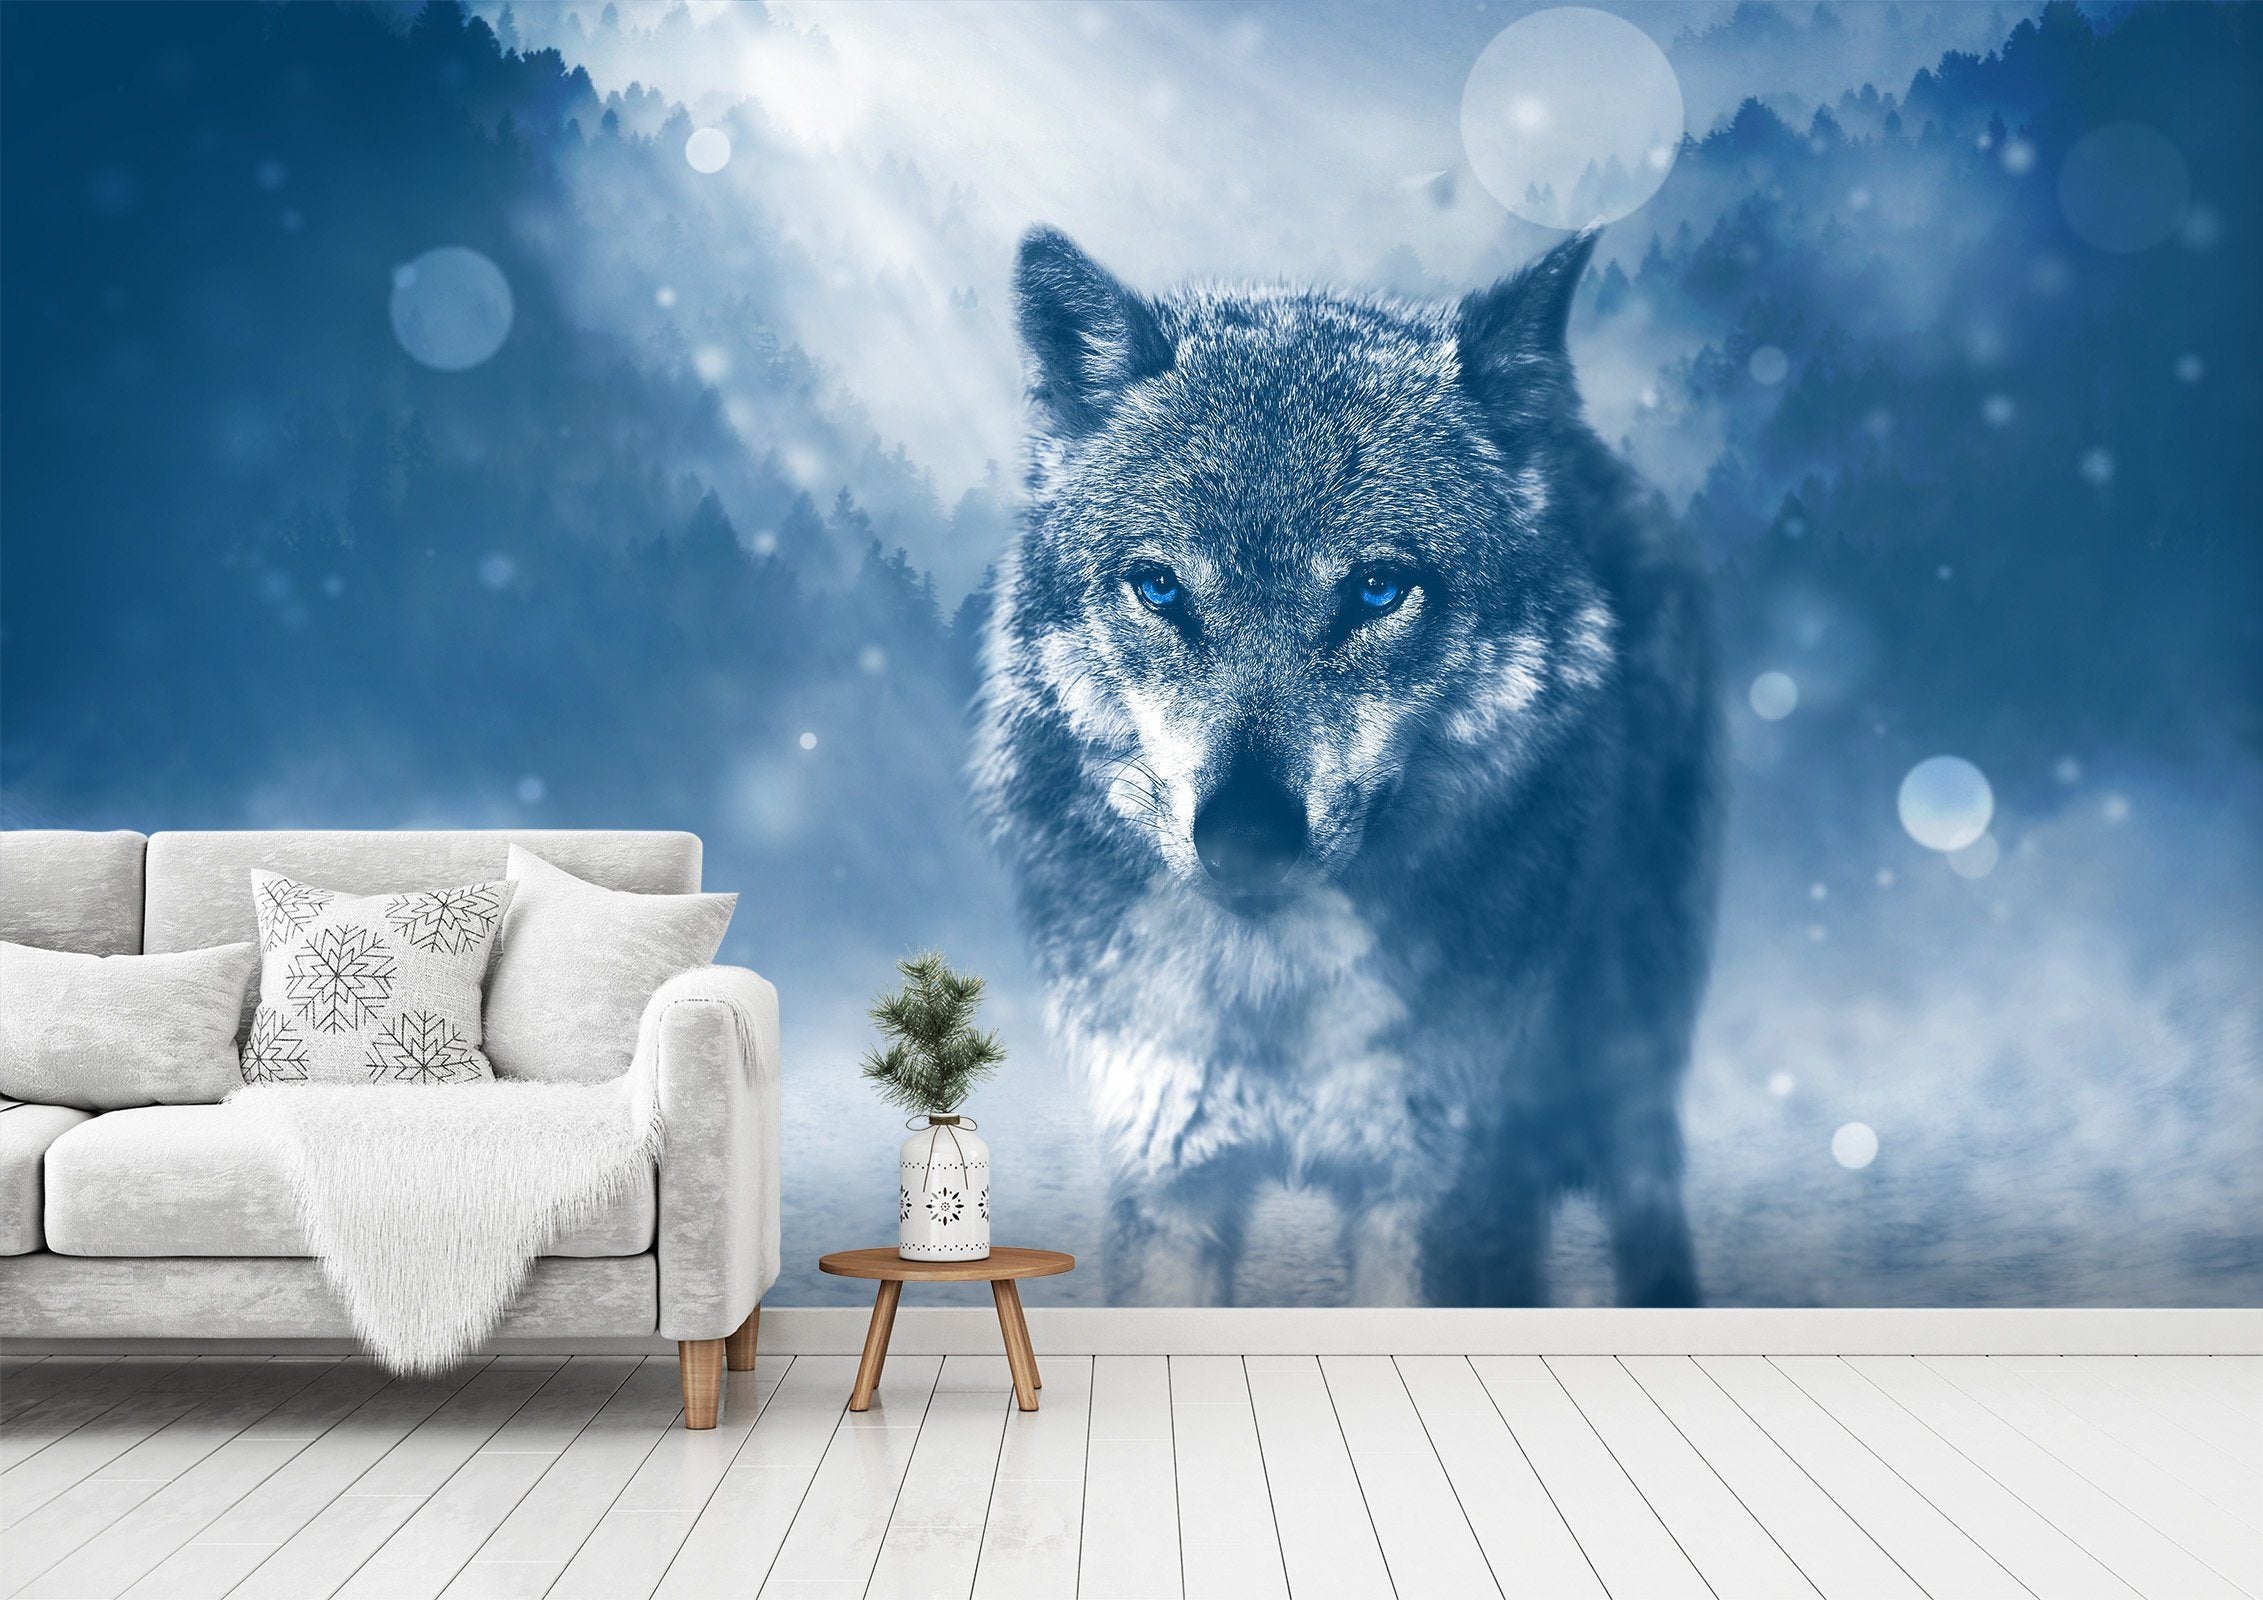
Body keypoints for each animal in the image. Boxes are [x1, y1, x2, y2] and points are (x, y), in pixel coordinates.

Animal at [970, 226, 1720, 1307]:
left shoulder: (1435, 1188)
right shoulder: (1169, 1174)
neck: (1274, 991)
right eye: (1159, 587)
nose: (1244, 836)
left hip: (1627, 1049)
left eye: (1375, 589)